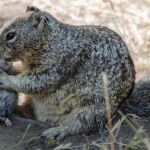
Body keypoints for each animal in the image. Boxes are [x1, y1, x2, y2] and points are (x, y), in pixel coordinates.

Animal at [0, 5, 141, 139]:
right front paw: (7, 67)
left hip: (89, 111)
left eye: (10, 35)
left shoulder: (56, 67)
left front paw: (4, 78)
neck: (50, 39)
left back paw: (56, 131)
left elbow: (33, 83)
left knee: (78, 127)